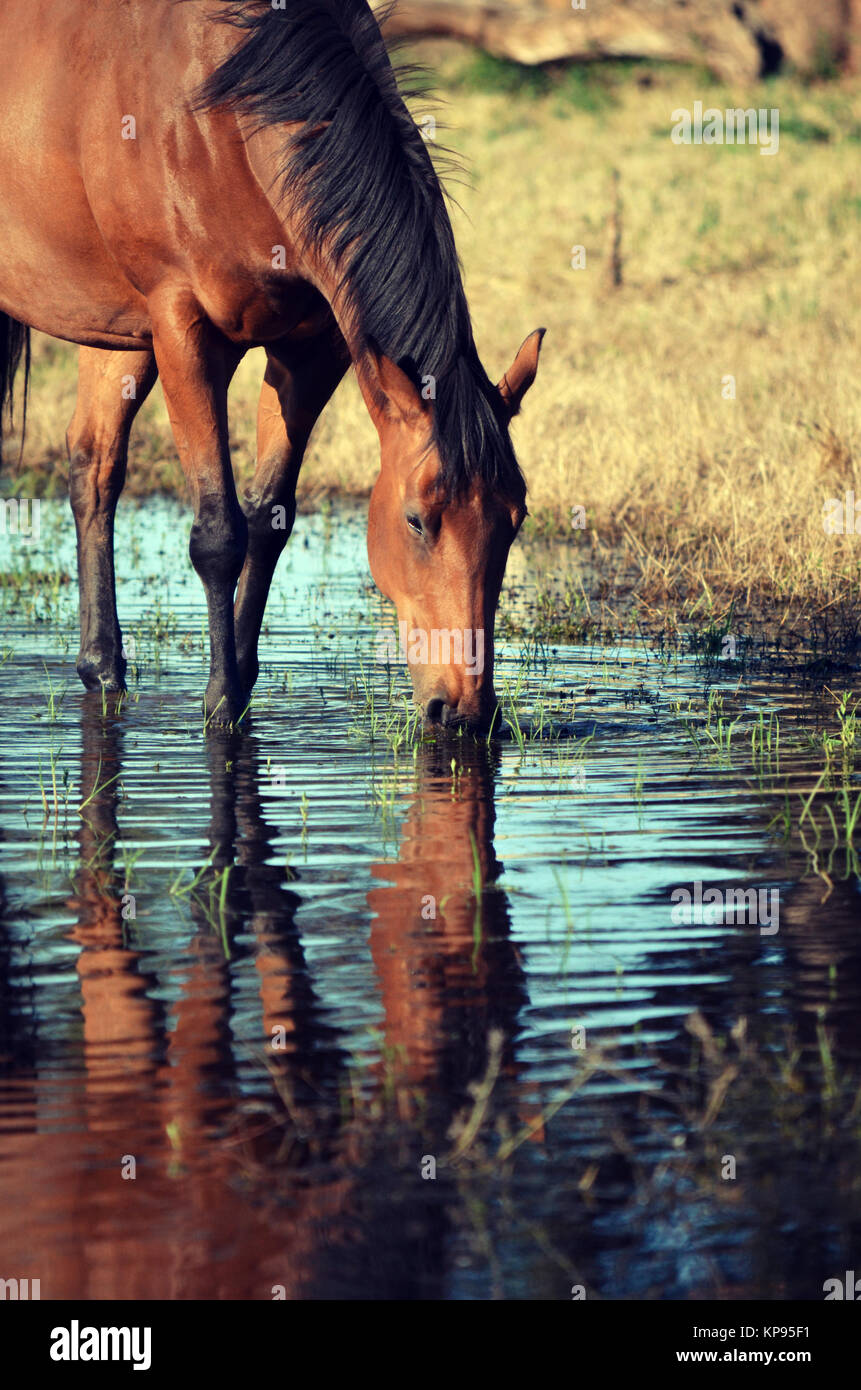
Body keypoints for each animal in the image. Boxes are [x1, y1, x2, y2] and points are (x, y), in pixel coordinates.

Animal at [0, 0, 543, 731]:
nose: (465, 712)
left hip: (116, 332)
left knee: (94, 465)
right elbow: (218, 533)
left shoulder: (310, 347)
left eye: (514, 519)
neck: (222, 111)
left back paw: (103, 671)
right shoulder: (183, 328)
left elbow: (268, 520)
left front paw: (240, 681)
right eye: (415, 519)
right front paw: (221, 703)